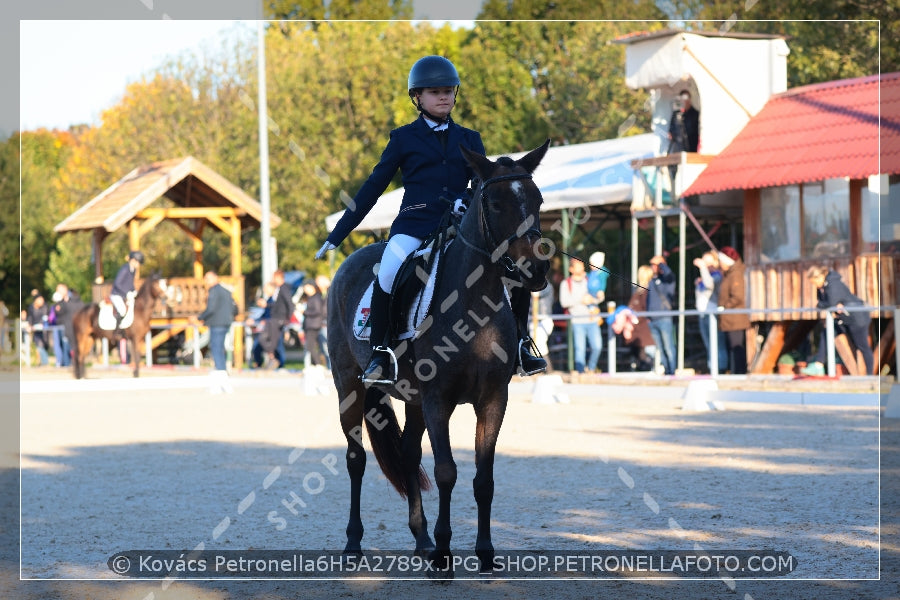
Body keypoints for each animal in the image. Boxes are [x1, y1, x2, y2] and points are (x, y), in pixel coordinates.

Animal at [326, 139, 548, 572]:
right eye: (495, 203)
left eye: (538, 199)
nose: (535, 268)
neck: (473, 305)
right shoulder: (437, 400)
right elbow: (446, 472)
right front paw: (445, 555)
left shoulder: (493, 399)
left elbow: (484, 478)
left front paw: (483, 553)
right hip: (348, 386)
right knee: (356, 458)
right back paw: (354, 543)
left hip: (411, 399)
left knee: (409, 454)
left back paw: (421, 538)